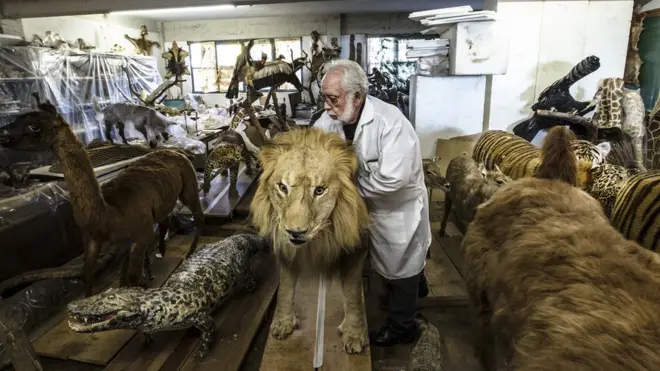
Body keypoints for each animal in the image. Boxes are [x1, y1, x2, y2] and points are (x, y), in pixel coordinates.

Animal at [0, 94, 205, 298]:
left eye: (34, 126)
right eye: (17, 118)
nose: (2, 133)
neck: (109, 214)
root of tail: (178, 151)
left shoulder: (141, 233)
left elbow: (132, 277)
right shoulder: (92, 240)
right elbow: (87, 276)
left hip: (189, 186)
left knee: (198, 215)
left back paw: (190, 253)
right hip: (164, 201)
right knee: (165, 219)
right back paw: (161, 252)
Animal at [68, 235, 270, 360]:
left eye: (110, 298)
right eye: (105, 292)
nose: (71, 305)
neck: (159, 301)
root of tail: (230, 240)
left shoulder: (199, 315)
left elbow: (209, 328)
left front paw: (202, 352)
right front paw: (145, 338)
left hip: (240, 264)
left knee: (248, 271)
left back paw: (250, 285)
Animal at [249, 128, 372, 354]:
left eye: (319, 190)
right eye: (283, 188)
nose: (295, 232)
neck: (320, 239)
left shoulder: (355, 250)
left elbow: (352, 294)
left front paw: (354, 333)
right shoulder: (286, 251)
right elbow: (285, 287)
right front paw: (283, 322)